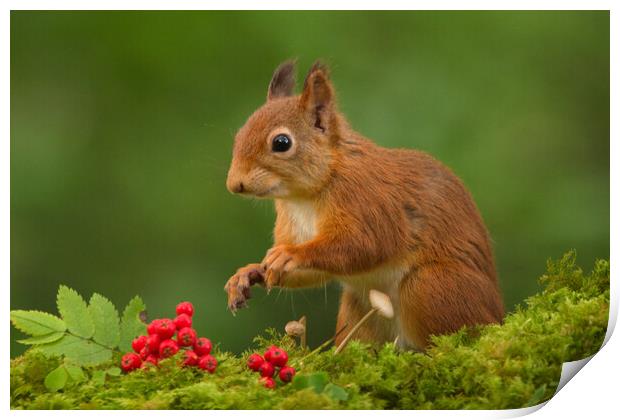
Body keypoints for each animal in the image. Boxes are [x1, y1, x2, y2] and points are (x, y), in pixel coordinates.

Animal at [223, 60, 504, 352]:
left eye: (281, 143)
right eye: (239, 135)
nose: (234, 184)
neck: (304, 198)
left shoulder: (366, 200)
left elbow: (364, 244)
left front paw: (290, 254)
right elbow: (311, 275)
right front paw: (248, 273)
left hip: (434, 286)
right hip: (359, 311)